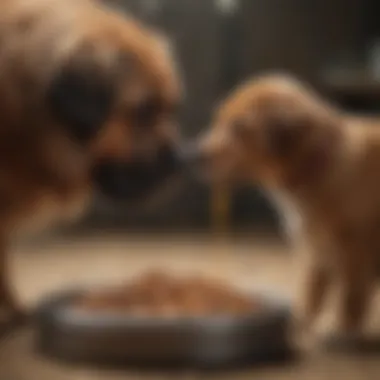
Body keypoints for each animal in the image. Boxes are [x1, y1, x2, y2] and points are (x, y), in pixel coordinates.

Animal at [197, 72, 380, 342]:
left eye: (238, 127)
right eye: (219, 120)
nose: (192, 156)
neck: (317, 166)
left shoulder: (354, 253)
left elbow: (351, 300)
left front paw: (342, 331)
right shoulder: (318, 253)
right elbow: (312, 295)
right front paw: (300, 325)